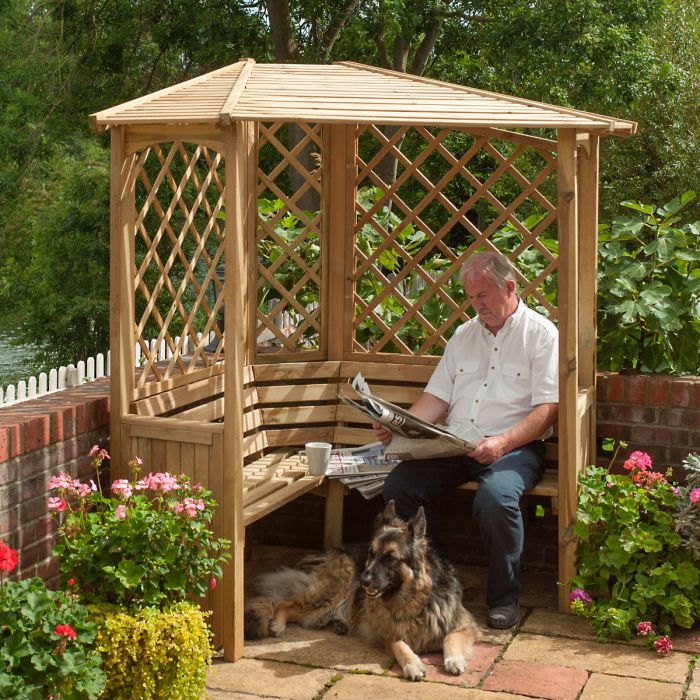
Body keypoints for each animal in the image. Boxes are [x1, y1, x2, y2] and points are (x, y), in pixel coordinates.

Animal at [243, 500, 478, 680]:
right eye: (371, 554)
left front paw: (454, 660)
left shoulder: (464, 624)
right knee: (285, 603)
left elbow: (450, 638)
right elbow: (400, 645)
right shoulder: (385, 631)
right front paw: (412, 663)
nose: (362, 581)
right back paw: (277, 623)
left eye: (390, 557)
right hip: (330, 593)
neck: (413, 600)